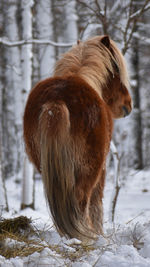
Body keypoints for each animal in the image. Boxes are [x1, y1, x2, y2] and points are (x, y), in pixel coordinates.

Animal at [22, 35, 132, 243]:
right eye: (116, 70)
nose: (128, 105)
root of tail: (55, 102)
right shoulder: (101, 169)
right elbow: (97, 204)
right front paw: (99, 234)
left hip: (45, 165)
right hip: (88, 169)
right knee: (82, 201)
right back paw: (86, 238)